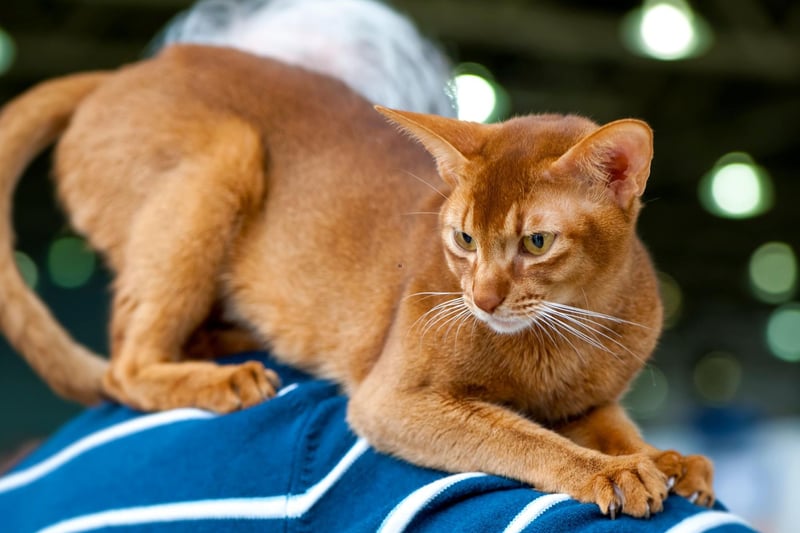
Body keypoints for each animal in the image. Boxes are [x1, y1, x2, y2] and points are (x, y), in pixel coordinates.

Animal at [0, 43, 712, 516]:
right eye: (464, 239)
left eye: (537, 243)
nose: (481, 299)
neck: (569, 334)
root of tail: (117, 74)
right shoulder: (390, 400)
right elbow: (520, 436)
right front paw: (613, 473)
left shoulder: (590, 400)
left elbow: (615, 425)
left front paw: (668, 460)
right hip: (227, 153)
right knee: (123, 365)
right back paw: (227, 377)